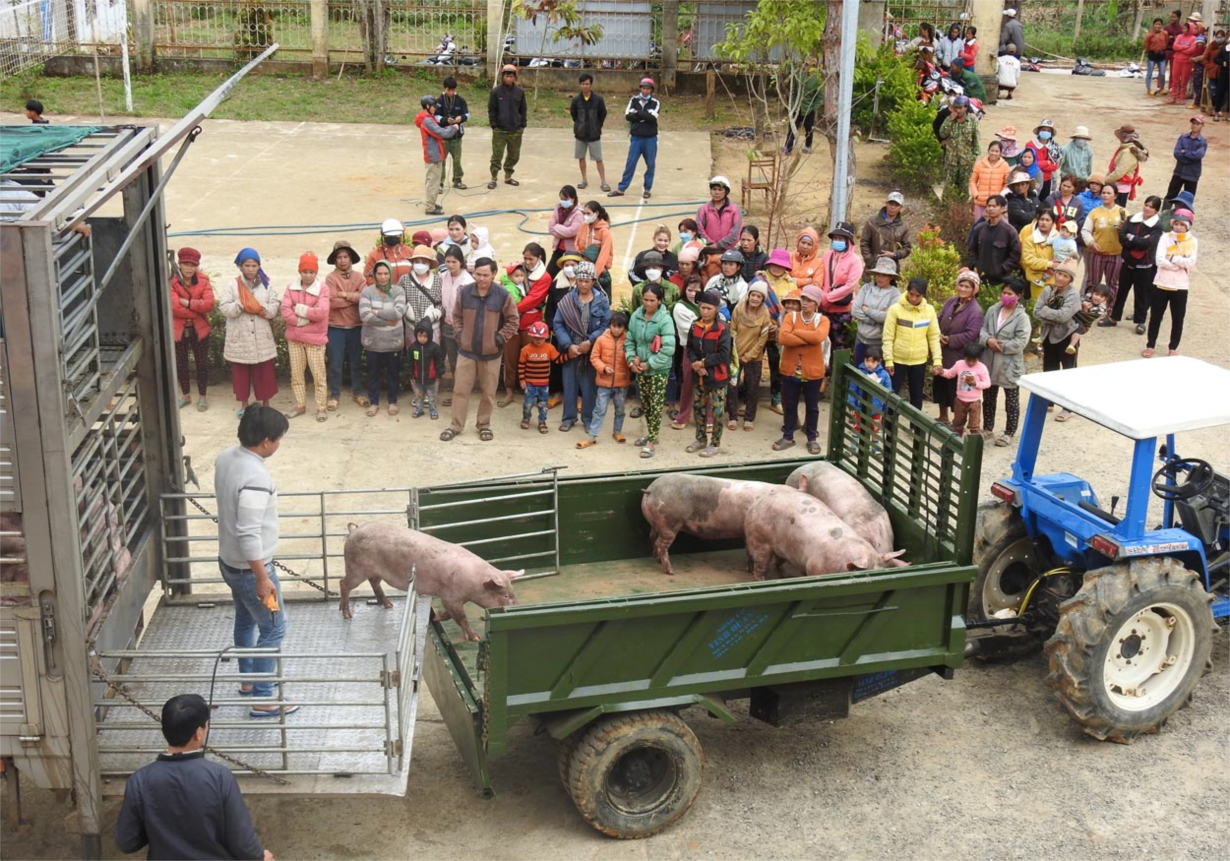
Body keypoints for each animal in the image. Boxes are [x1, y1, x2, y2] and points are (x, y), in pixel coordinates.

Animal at [341, 521, 523, 644]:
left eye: (513, 592)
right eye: (505, 596)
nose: (517, 608)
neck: (475, 581)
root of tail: (354, 531)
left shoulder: (454, 598)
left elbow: (451, 614)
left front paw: (436, 618)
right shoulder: (450, 596)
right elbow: (461, 617)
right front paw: (476, 638)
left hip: (373, 571)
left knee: (374, 583)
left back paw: (389, 605)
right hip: (356, 568)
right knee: (344, 583)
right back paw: (347, 615)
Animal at [639, 474, 792, 575]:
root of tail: (651, 490)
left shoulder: (746, 533)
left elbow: (748, 549)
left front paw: (748, 569)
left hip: (657, 523)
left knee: (652, 537)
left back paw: (657, 559)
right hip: (669, 523)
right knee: (661, 544)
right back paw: (671, 571)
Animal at [738, 487, 905, 583]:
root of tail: (760, 500)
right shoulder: (814, 567)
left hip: (781, 547)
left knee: (776, 563)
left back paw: (784, 577)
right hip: (758, 538)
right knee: (760, 564)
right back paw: (762, 580)